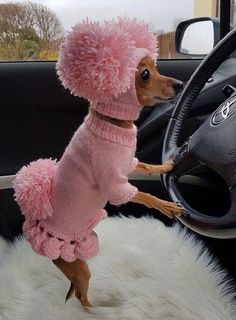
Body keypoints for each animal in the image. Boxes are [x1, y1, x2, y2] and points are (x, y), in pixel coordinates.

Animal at [53, 55, 183, 308]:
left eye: (156, 68)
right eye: (145, 74)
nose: (181, 84)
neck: (111, 123)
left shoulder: (126, 163)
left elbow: (145, 166)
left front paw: (164, 166)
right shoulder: (115, 185)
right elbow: (147, 196)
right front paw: (167, 206)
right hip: (81, 270)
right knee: (82, 297)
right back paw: (100, 309)